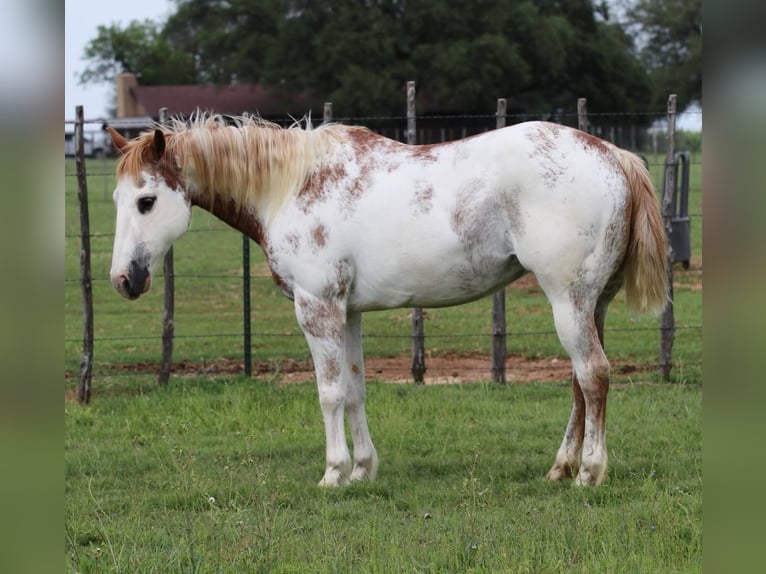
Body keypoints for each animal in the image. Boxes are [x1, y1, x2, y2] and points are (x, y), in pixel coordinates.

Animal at [105, 114, 667, 487]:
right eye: (118, 200)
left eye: (147, 201)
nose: (123, 279)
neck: (291, 186)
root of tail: (613, 155)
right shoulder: (347, 313)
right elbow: (355, 390)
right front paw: (362, 470)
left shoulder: (317, 309)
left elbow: (330, 393)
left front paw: (333, 473)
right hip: (591, 305)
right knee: (580, 384)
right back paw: (561, 467)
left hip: (567, 302)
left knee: (593, 376)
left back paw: (589, 473)